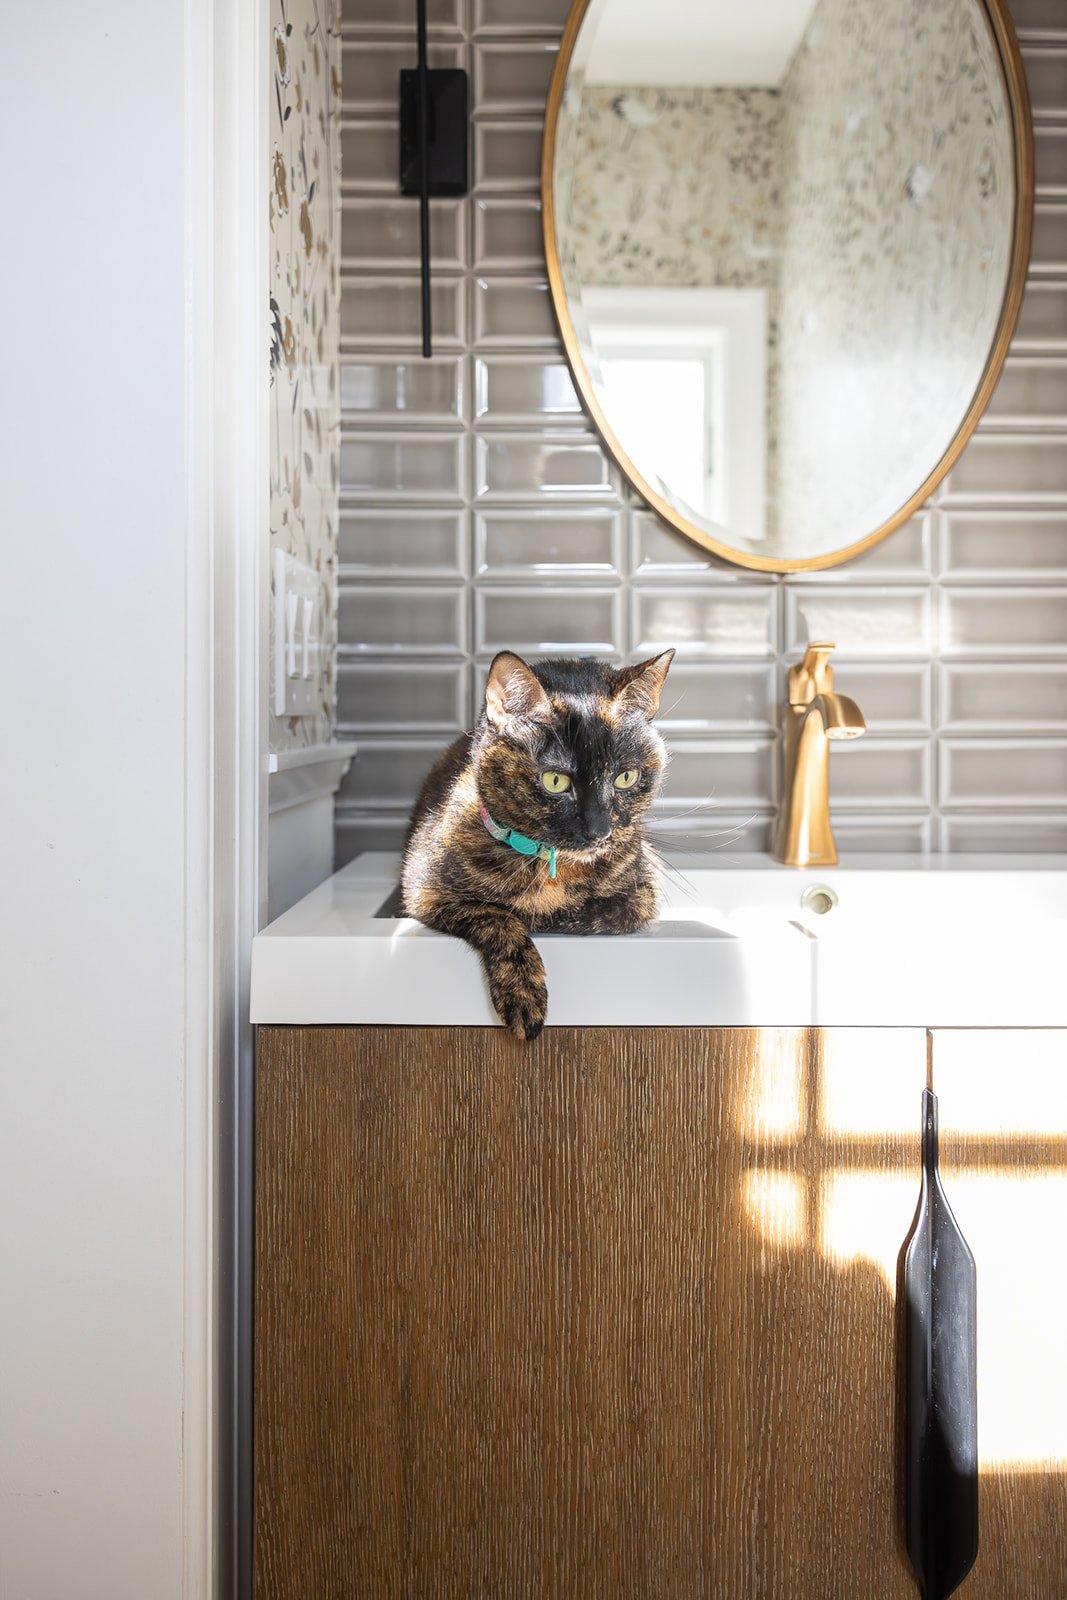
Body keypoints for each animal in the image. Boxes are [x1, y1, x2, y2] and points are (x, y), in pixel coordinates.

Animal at [401, 648, 674, 1040]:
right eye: (555, 781)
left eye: (625, 777)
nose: (600, 831)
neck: (550, 866)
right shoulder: (425, 893)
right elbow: (496, 915)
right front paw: (523, 993)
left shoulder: (643, 891)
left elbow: (599, 914)